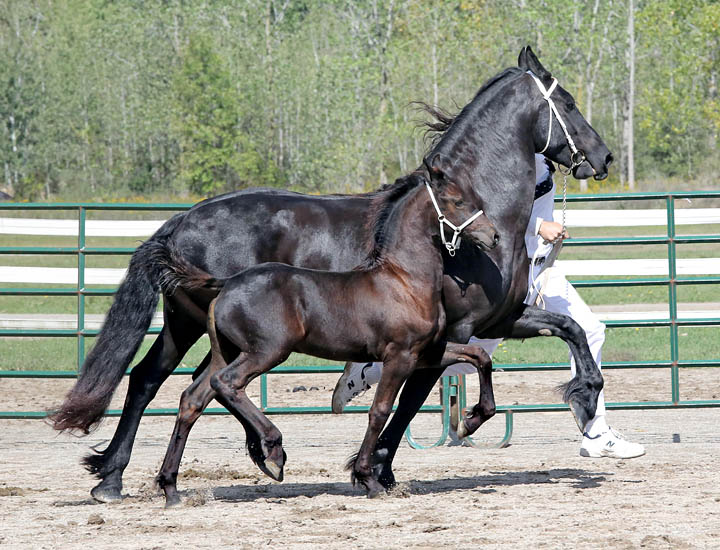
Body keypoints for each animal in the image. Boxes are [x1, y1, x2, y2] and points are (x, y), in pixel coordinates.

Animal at [153, 169, 499, 503]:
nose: (493, 236)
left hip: (226, 352)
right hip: (266, 352)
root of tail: (227, 283)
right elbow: (379, 411)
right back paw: (274, 452)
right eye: (457, 201)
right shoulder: (399, 355)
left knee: (194, 398)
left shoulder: (427, 352)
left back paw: (171, 488)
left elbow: (480, 356)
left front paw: (471, 420)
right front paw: (367, 479)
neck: (403, 281)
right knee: (226, 383)